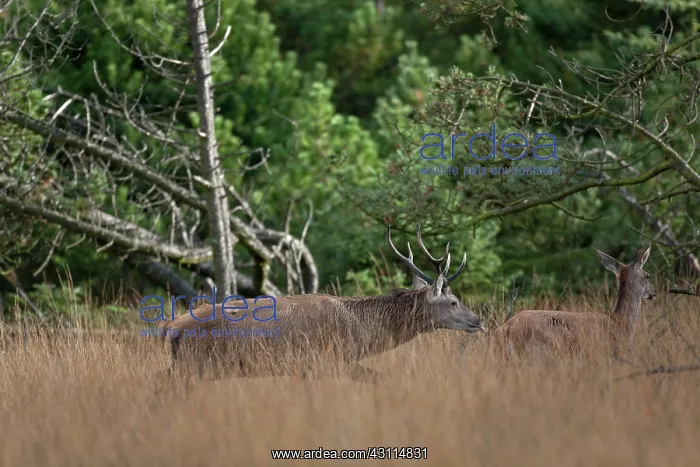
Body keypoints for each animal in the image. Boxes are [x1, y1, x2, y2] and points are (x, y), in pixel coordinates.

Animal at [155, 224, 484, 394]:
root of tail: (170, 327)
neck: (361, 330)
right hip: (194, 365)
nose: (479, 320)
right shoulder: (327, 360)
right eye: (453, 302)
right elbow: (379, 379)